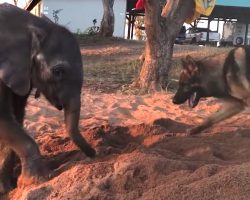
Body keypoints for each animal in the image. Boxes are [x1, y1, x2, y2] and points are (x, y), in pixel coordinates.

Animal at [0, 3, 95, 194]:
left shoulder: (21, 71)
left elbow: (16, 116)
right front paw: (39, 180)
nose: (94, 155)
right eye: (58, 72)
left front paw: (8, 189)